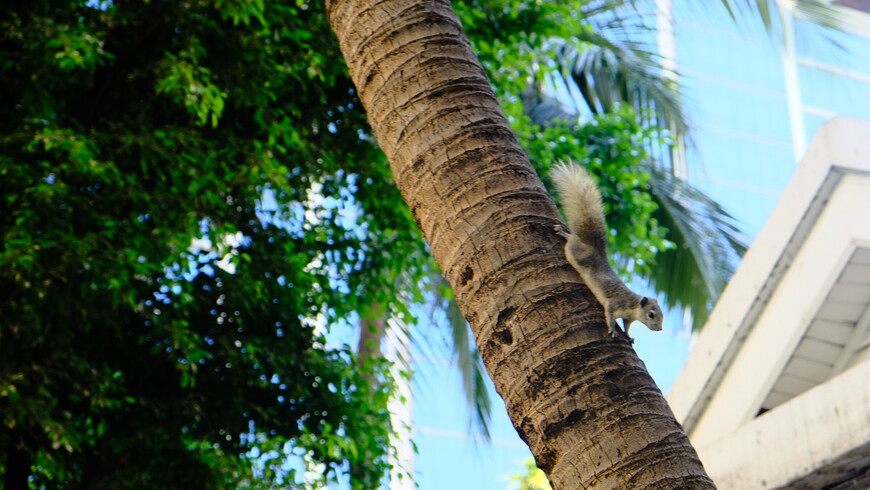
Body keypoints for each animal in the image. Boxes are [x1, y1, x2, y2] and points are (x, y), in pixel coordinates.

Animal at [552, 161, 668, 340]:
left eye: (662, 315)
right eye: (651, 314)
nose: (659, 329)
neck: (633, 306)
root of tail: (595, 248)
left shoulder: (628, 317)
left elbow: (627, 325)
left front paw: (628, 335)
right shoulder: (615, 303)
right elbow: (609, 314)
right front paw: (613, 329)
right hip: (576, 254)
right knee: (572, 243)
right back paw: (566, 233)